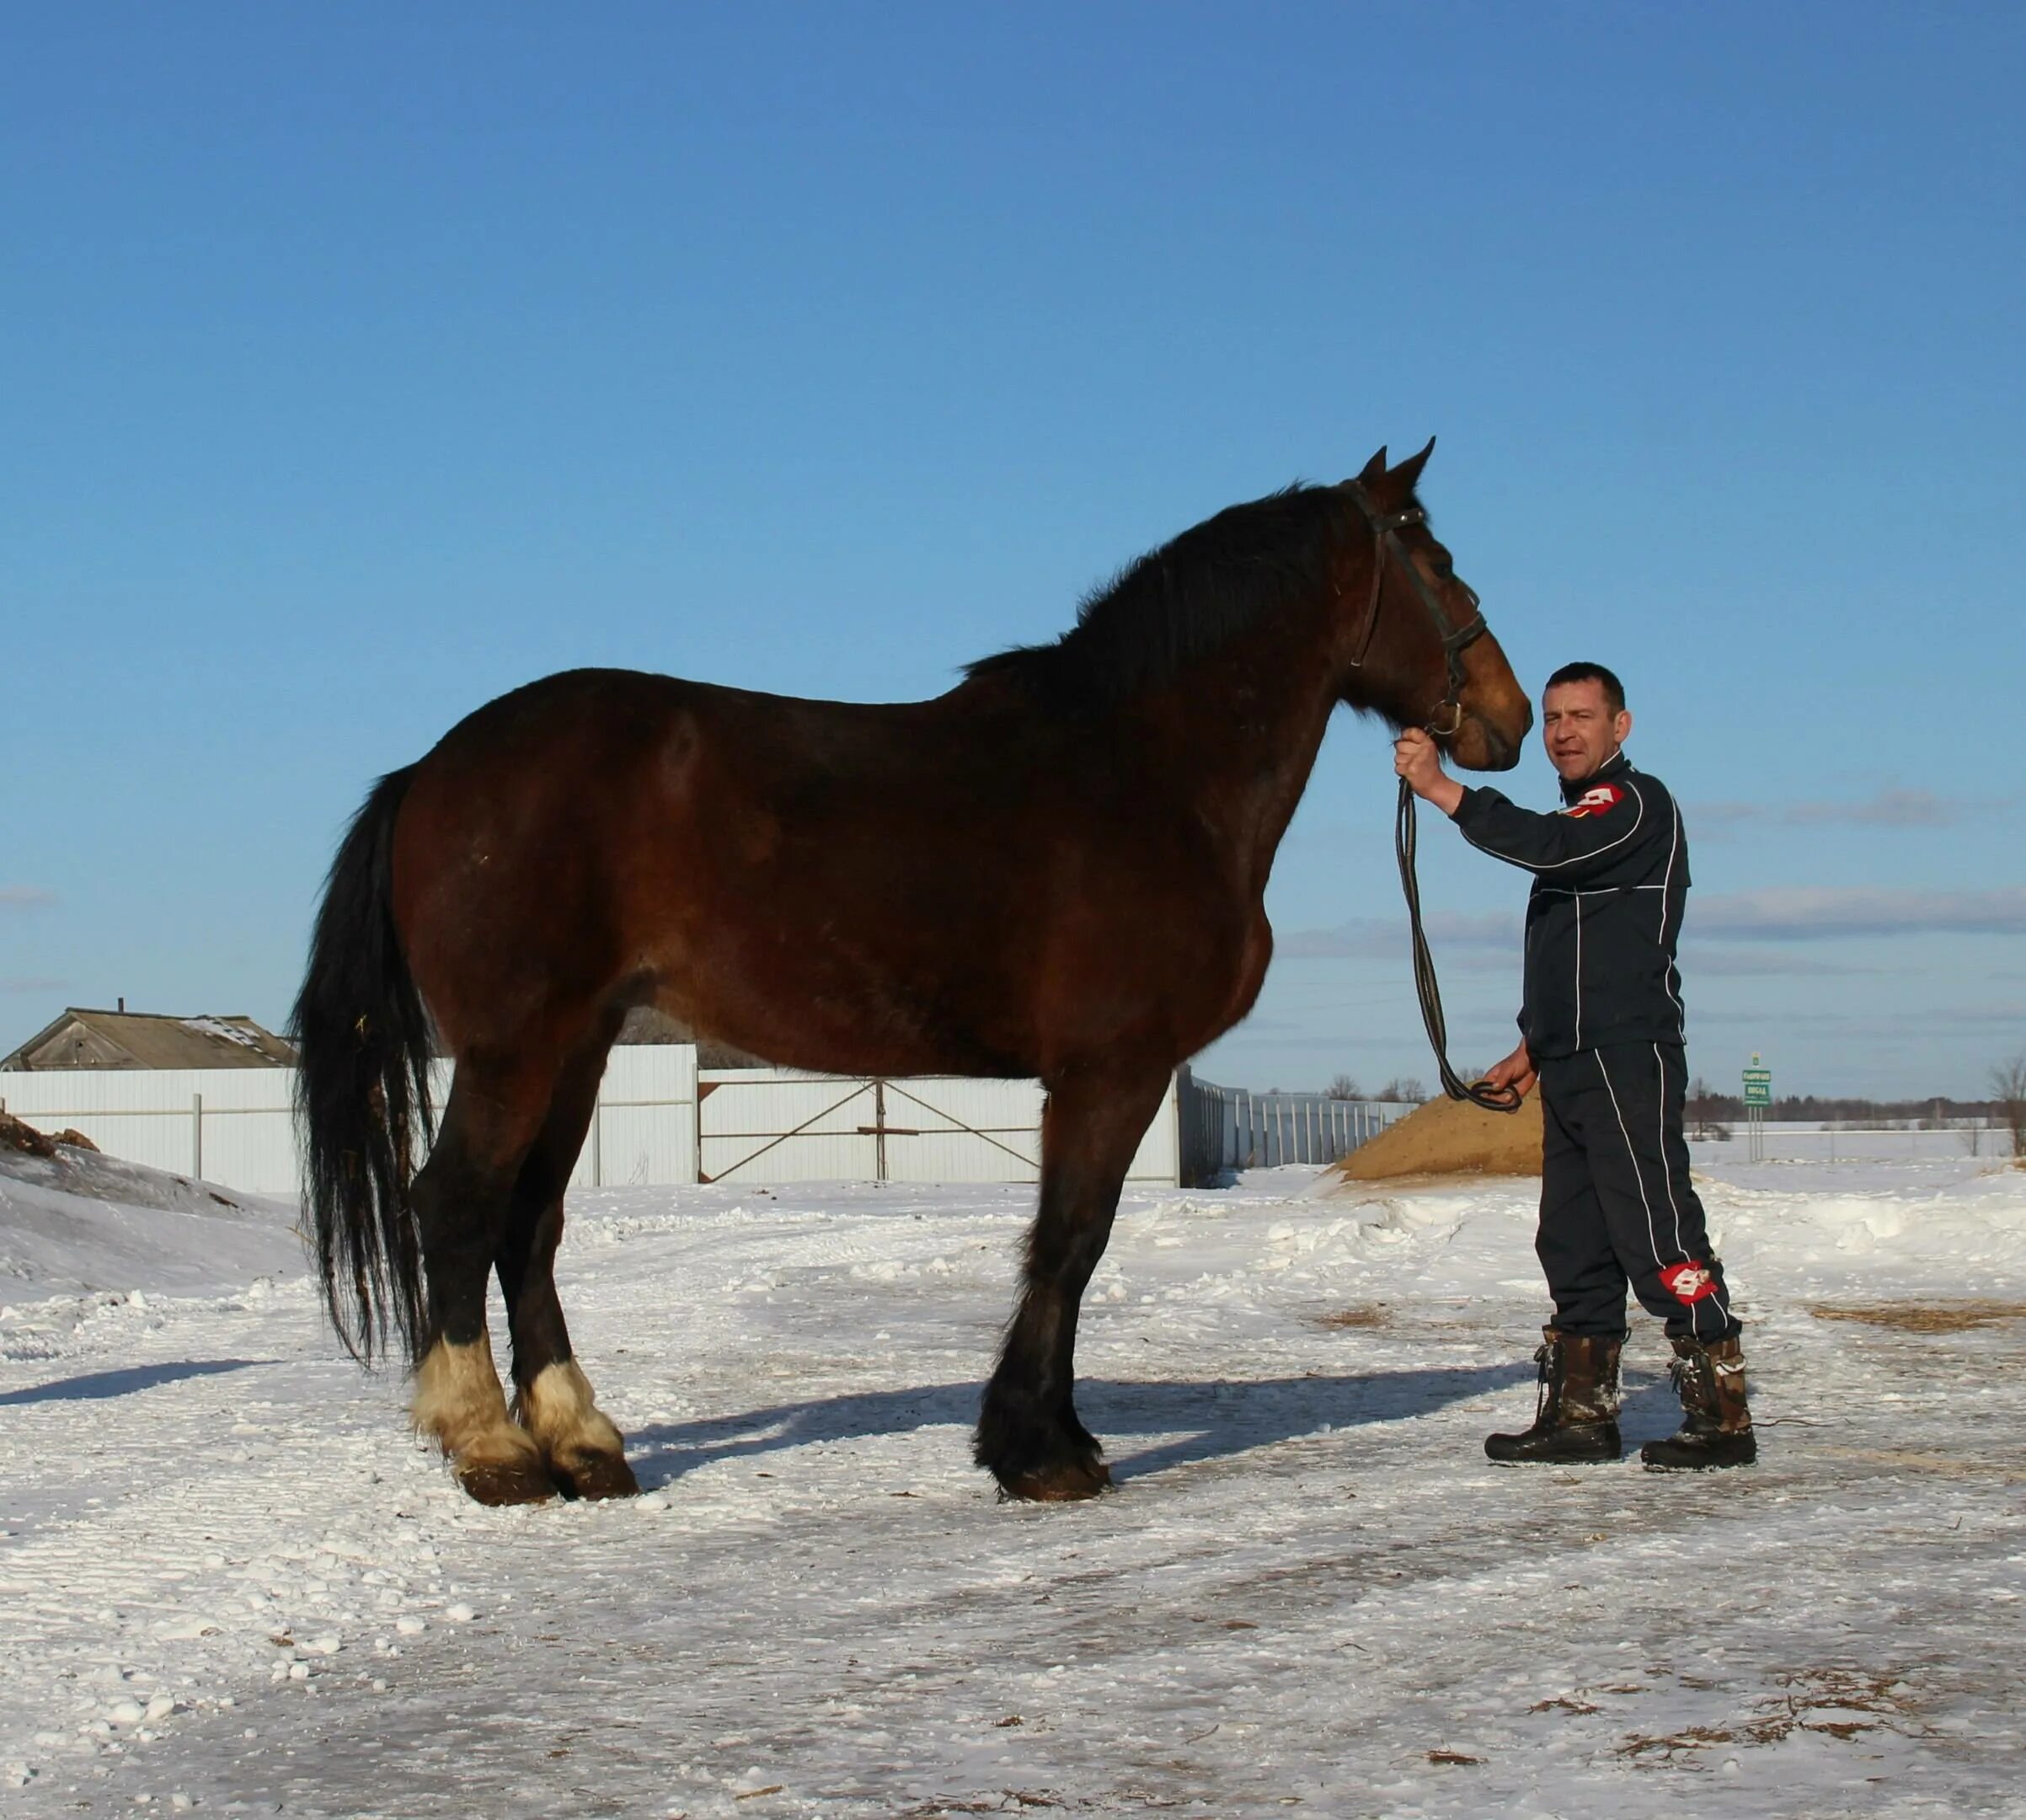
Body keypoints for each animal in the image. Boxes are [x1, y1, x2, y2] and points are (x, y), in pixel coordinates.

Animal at [293, 436, 1523, 1507]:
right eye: (1435, 562)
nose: (1506, 720)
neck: (1145, 770)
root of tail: (432, 767)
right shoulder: (1110, 1071)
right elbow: (1070, 1242)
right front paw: (1038, 1453)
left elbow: (1066, 1244)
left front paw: (1048, 1437)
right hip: (515, 1044)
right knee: (457, 1206)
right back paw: (494, 1452)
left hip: (579, 1045)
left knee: (528, 1224)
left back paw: (585, 1444)